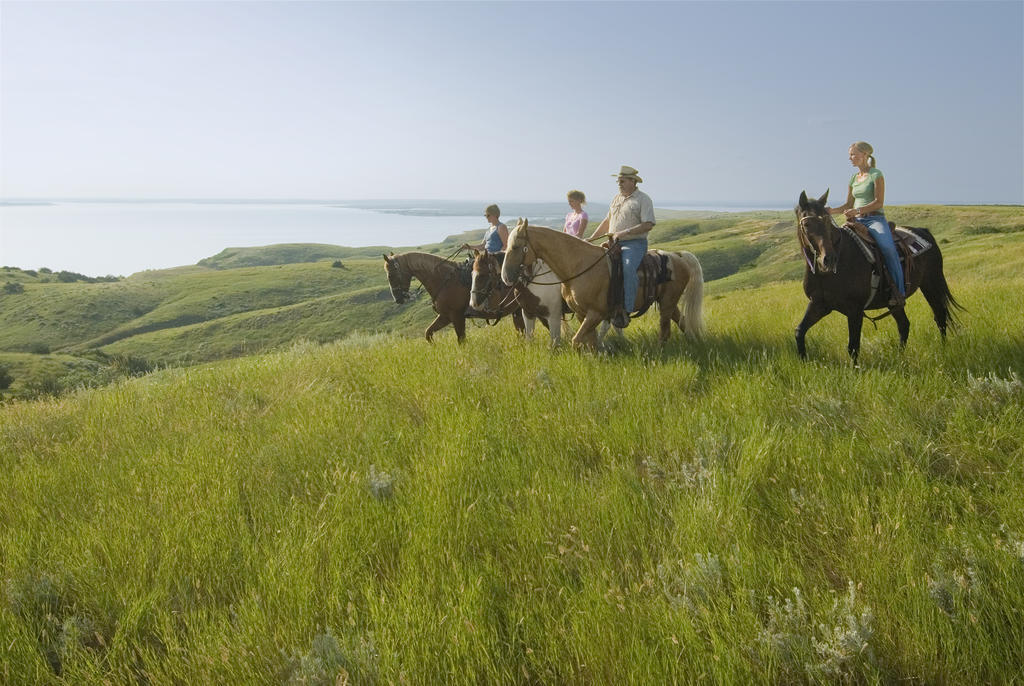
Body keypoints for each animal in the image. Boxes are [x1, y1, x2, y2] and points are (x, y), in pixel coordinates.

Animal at [385, 252, 528, 344]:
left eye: (391, 275)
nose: (398, 299)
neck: (444, 280)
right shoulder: (445, 317)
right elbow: (428, 333)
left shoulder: (457, 316)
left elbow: (461, 340)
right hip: (517, 310)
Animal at [497, 219, 704, 352]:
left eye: (516, 246)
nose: (506, 277)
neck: (578, 266)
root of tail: (678, 256)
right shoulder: (581, 314)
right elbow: (589, 342)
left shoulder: (592, 313)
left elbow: (575, 341)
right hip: (668, 302)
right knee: (682, 320)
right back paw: (694, 342)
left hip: (667, 303)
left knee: (665, 330)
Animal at [790, 192, 958, 364]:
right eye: (807, 224)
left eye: (827, 222)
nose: (829, 260)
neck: (828, 274)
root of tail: (924, 231)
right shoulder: (819, 305)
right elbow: (799, 332)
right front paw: (804, 361)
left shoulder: (855, 310)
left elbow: (853, 347)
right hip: (894, 302)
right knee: (904, 325)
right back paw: (900, 358)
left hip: (931, 284)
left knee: (940, 317)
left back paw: (943, 350)